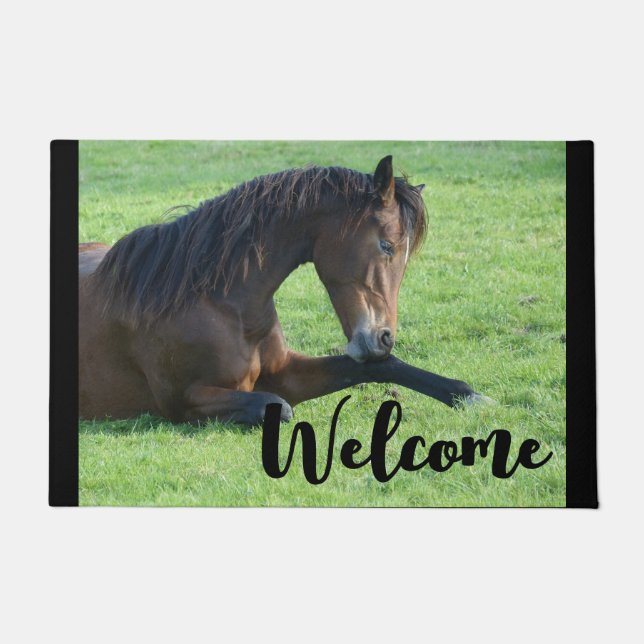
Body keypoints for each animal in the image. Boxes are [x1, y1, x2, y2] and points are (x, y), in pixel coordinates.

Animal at [79, 155, 486, 425]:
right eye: (386, 245)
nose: (384, 337)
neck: (220, 304)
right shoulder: (182, 402)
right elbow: (278, 406)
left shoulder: (287, 371)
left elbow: (383, 367)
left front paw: (469, 396)